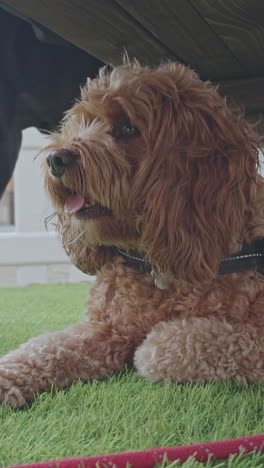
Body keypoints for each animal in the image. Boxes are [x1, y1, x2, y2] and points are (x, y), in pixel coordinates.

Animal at [0, 61, 264, 406]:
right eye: (81, 123)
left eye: (127, 129)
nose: (56, 158)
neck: (152, 260)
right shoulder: (104, 328)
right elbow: (45, 347)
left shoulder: (253, 335)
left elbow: (162, 345)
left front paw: (148, 349)